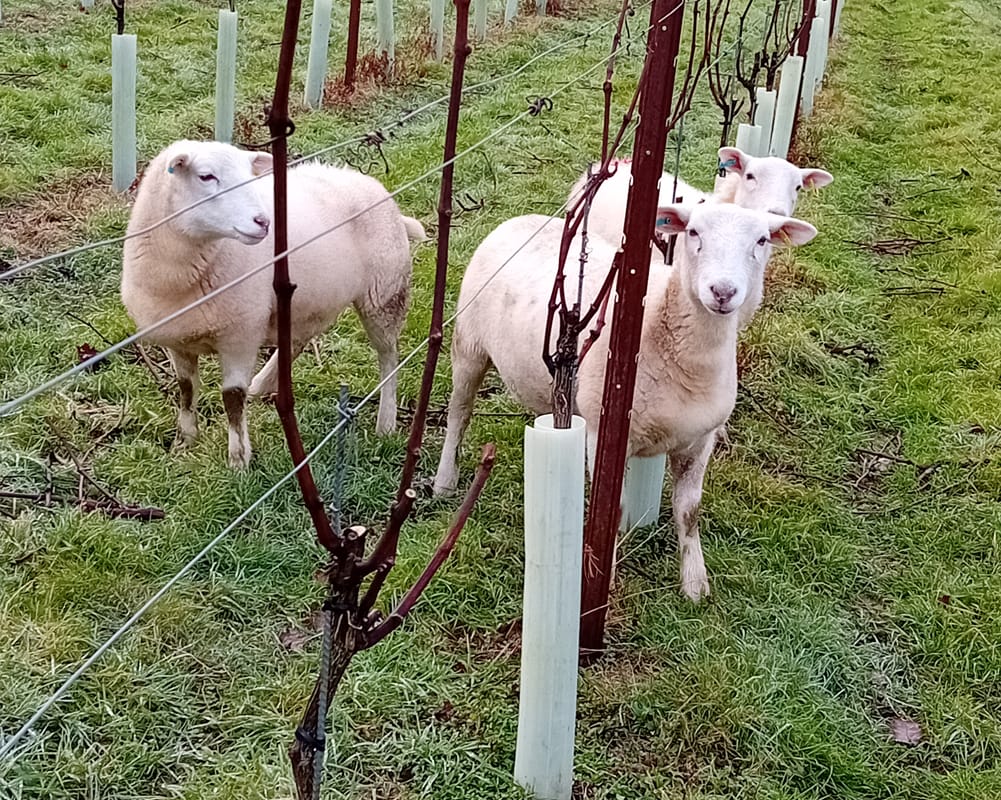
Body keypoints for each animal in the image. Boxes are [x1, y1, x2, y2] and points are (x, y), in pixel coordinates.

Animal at [121, 139, 425, 468]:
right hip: (306, 298)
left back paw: (386, 422)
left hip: (384, 293)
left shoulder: (240, 334)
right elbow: (186, 389)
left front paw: (238, 460)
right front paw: (184, 442)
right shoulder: (179, 339)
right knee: (299, 340)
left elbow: (232, 398)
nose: (263, 222)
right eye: (206, 176)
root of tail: (376, 188)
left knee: (389, 358)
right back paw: (264, 383)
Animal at [432, 203, 816, 601]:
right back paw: (445, 481)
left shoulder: (701, 440)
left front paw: (695, 585)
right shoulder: (604, 433)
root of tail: (522, 219)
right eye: (693, 232)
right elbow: (611, 513)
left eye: (762, 240)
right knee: (459, 413)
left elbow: (689, 511)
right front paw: (604, 584)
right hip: (468, 346)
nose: (723, 291)